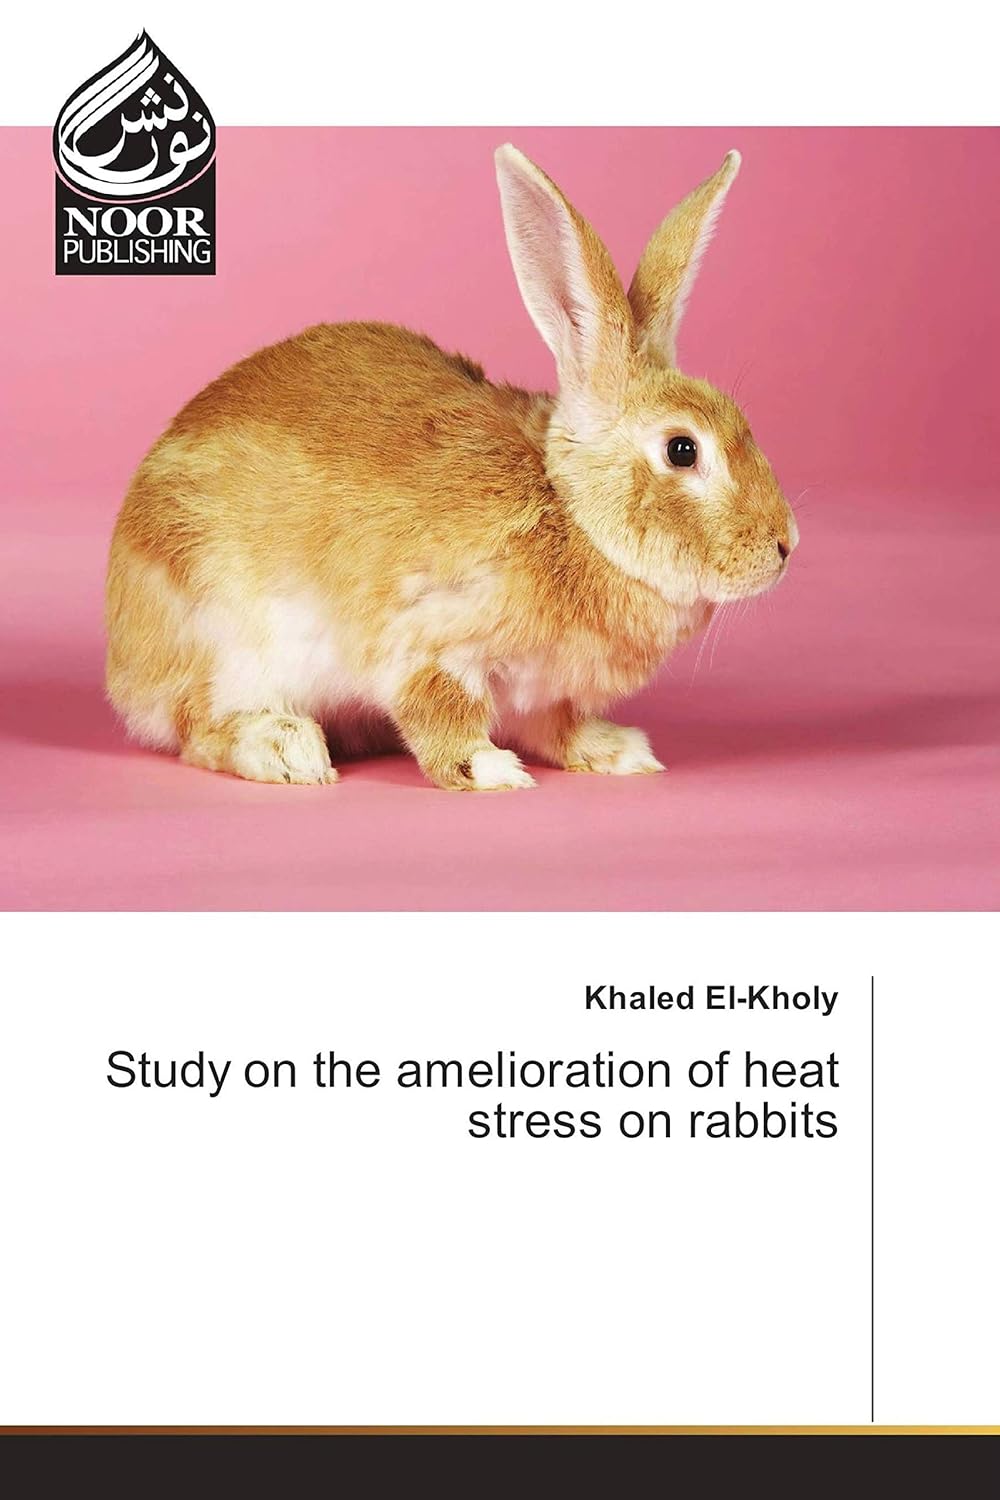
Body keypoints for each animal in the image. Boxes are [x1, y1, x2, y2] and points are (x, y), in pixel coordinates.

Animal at [105, 144, 797, 790]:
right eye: (683, 449)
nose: (785, 544)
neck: (571, 511)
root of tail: (122, 657)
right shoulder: (432, 642)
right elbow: (442, 716)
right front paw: (492, 771)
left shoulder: (548, 691)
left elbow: (559, 727)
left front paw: (619, 752)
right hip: (227, 642)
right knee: (198, 727)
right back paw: (286, 748)